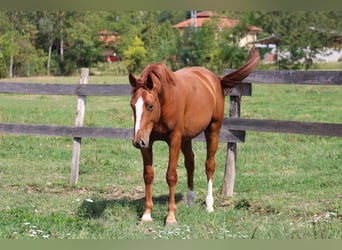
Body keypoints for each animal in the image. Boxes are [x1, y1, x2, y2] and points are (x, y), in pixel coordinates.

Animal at [129, 48, 260, 225]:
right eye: (132, 105)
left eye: (150, 106)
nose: (137, 141)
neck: (165, 101)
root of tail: (215, 79)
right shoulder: (148, 142)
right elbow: (148, 175)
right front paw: (147, 214)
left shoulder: (174, 140)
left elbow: (171, 176)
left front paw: (170, 217)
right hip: (186, 138)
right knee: (190, 163)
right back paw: (190, 201)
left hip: (212, 130)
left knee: (209, 165)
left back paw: (209, 205)